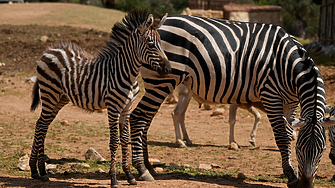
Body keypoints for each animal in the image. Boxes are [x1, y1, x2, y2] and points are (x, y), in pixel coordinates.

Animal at [28, 9, 171, 187]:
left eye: (162, 45)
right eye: (151, 44)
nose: (168, 68)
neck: (127, 73)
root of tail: (49, 51)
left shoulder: (127, 108)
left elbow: (125, 139)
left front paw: (129, 175)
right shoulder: (113, 108)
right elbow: (114, 141)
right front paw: (114, 179)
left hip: (59, 99)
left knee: (41, 124)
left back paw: (34, 169)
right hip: (50, 95)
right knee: (41, 126)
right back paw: (42, 171)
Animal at [129, 15, 334, 188]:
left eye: (322, 149)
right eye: (300, 149)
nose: (306, 186)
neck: (286, 63)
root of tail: (154, 27)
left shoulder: (291, 102)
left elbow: (290, 133)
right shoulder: (270, 95)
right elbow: (282, 137)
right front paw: (291, 176)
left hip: (158, 84)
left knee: (146, 120)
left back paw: (150, 166)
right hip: (162, 81)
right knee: (139, 117)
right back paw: (142, 168)